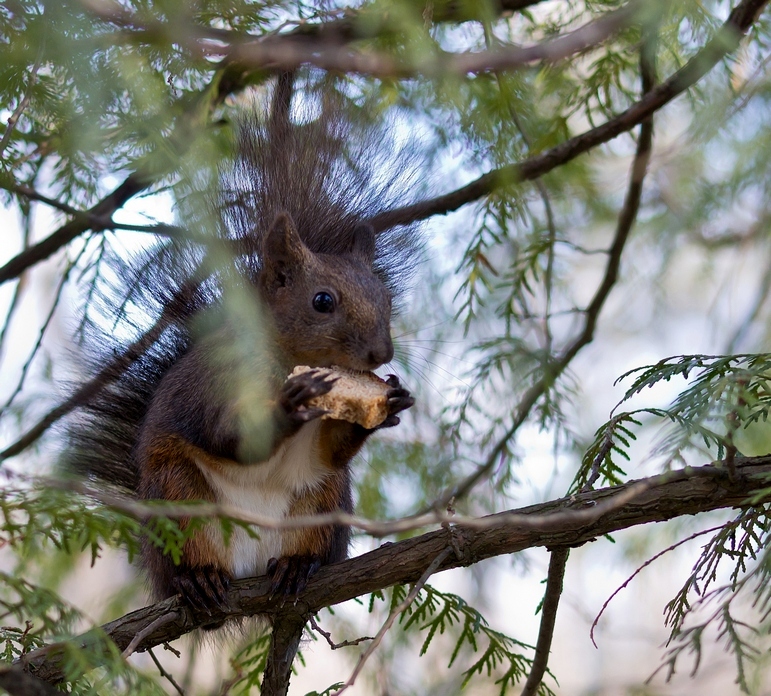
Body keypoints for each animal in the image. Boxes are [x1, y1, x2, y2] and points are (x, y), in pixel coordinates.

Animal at [68, 72, 422, 692]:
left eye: (385, 298)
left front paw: (389, 403)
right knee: (192, 551)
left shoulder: (326, 450)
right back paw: (199, 582)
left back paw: (297, 566)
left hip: (321, 504)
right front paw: (288, 407)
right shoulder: (216, 383)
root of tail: (248, 568)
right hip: (179, 496)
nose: (383, 353)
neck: (285, 360)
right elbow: (227, 435)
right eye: (322, 301)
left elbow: (330, 450)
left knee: (311, 526)